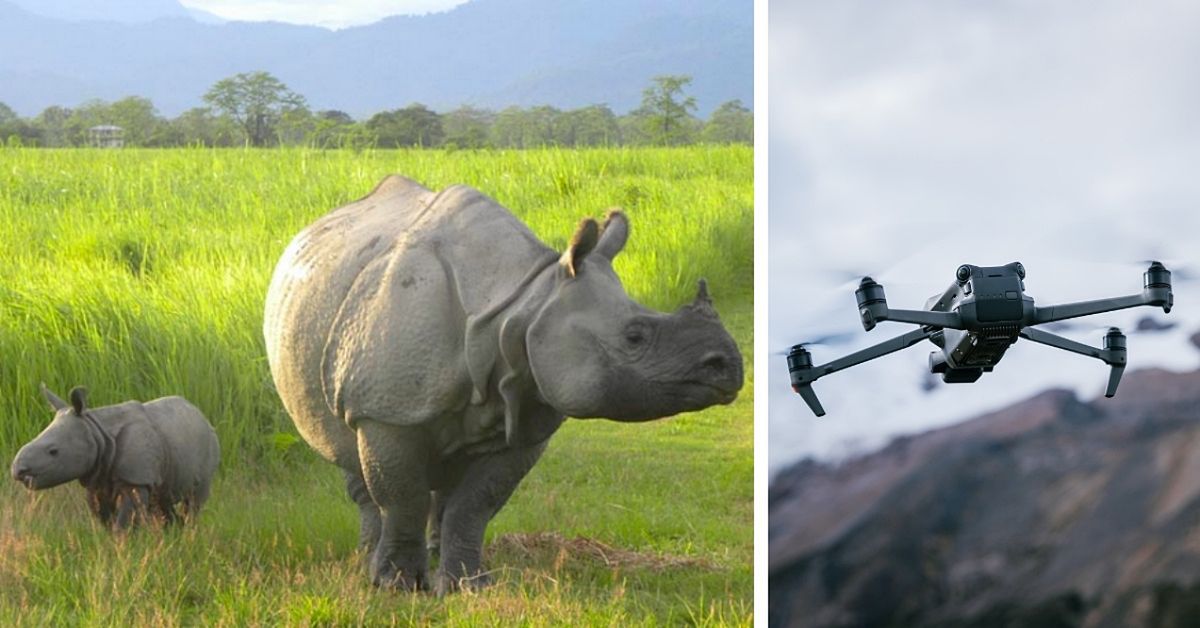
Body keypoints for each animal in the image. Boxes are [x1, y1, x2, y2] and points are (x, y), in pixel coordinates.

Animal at [10, 385, 220, 529]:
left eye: (53, 451)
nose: (18, 471)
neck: (97, 430)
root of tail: (200, 414)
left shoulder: (135, 479)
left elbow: (123, 522)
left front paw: (125, 549)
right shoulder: (96, 476)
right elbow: (104, 519)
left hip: (209, 442)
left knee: (194, 501)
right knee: (163, 500)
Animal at [263, 176, 744, 594]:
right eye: (634, 336)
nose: (730, 366)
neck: (523, 303)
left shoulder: (529, 415)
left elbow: (475, 504)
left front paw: (467, 587)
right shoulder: (386, 410)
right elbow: (402, 497)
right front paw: (398, 586)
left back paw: (431, 556)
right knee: (347, 452)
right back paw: (368, 560)